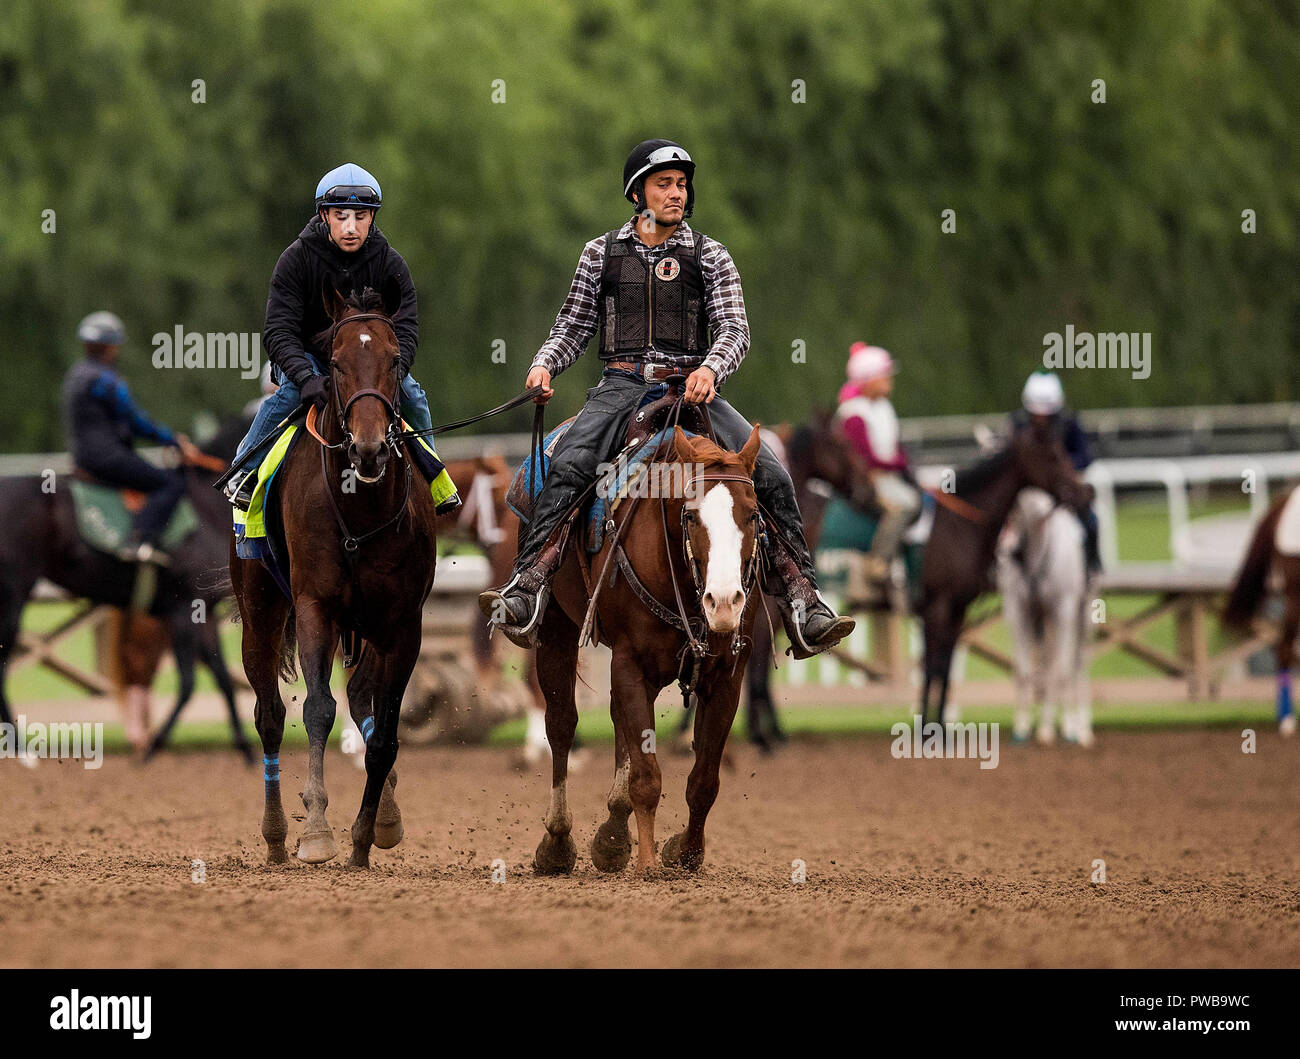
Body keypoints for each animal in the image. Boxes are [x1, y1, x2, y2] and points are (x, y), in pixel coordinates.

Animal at [231, 281, 439, 867]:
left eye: (394, 360)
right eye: (337, 362)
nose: (368, 448)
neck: (359, 510)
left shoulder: (402, 623)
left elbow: (386, 733)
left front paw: (365, 837)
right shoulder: (314, 608)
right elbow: (319, 710)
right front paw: (317, 829)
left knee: (366, 702)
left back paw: (385, 815)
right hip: (259, 611)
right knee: (269, 715)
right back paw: (276, 835)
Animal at [533, 418, 764, 873]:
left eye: (752, 514)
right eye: (691, 515)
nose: (724, 602)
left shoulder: (726, 676)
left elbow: (703, 781)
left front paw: (687, 854)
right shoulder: (629, 663)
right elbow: (646, 776)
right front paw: (646, 863)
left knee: (617, 722)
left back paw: (612, 835)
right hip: (555, 628)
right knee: (562, 724)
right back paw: (558, 842)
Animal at [920, 418, 1092, 722]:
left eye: (1063, 452)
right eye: (1052, 456)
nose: (1086, 493)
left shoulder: (958, 608)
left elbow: (945, 668)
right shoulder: (941, 606)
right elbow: (935, 668)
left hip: (1076, 609)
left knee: (1072, 665)